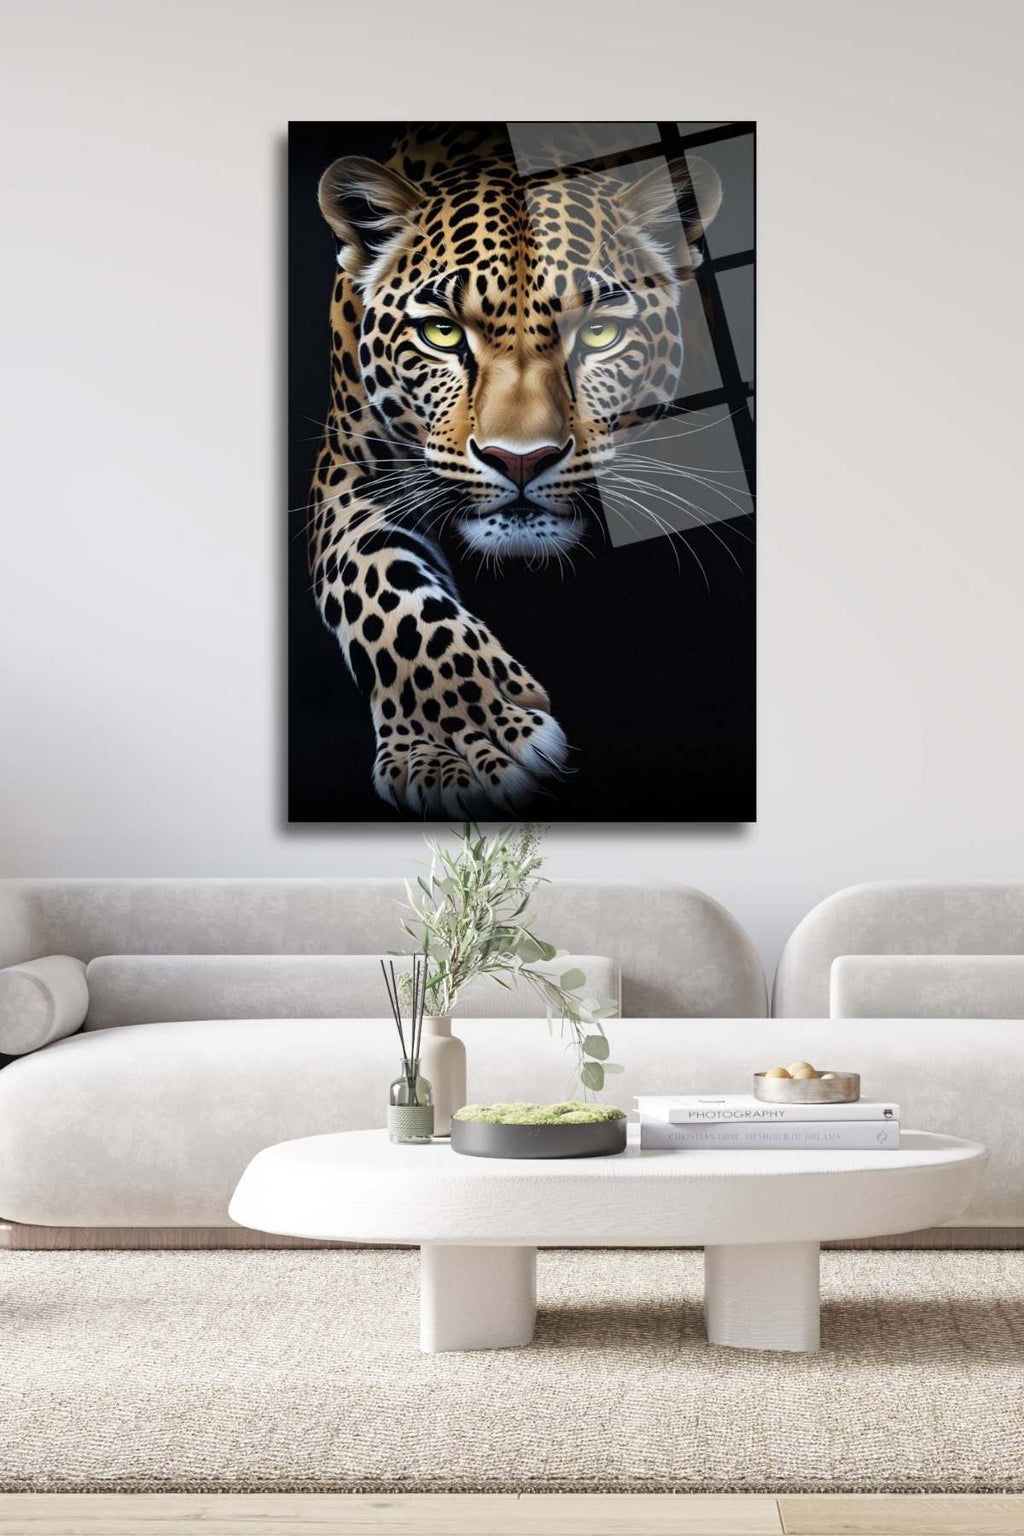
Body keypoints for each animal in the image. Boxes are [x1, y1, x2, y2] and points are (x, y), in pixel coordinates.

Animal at [306, 123, 721, 818]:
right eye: (442, 333)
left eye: (600, 333)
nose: (519, 459)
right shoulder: (348, 472)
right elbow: (384, 593)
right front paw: (458, 742)